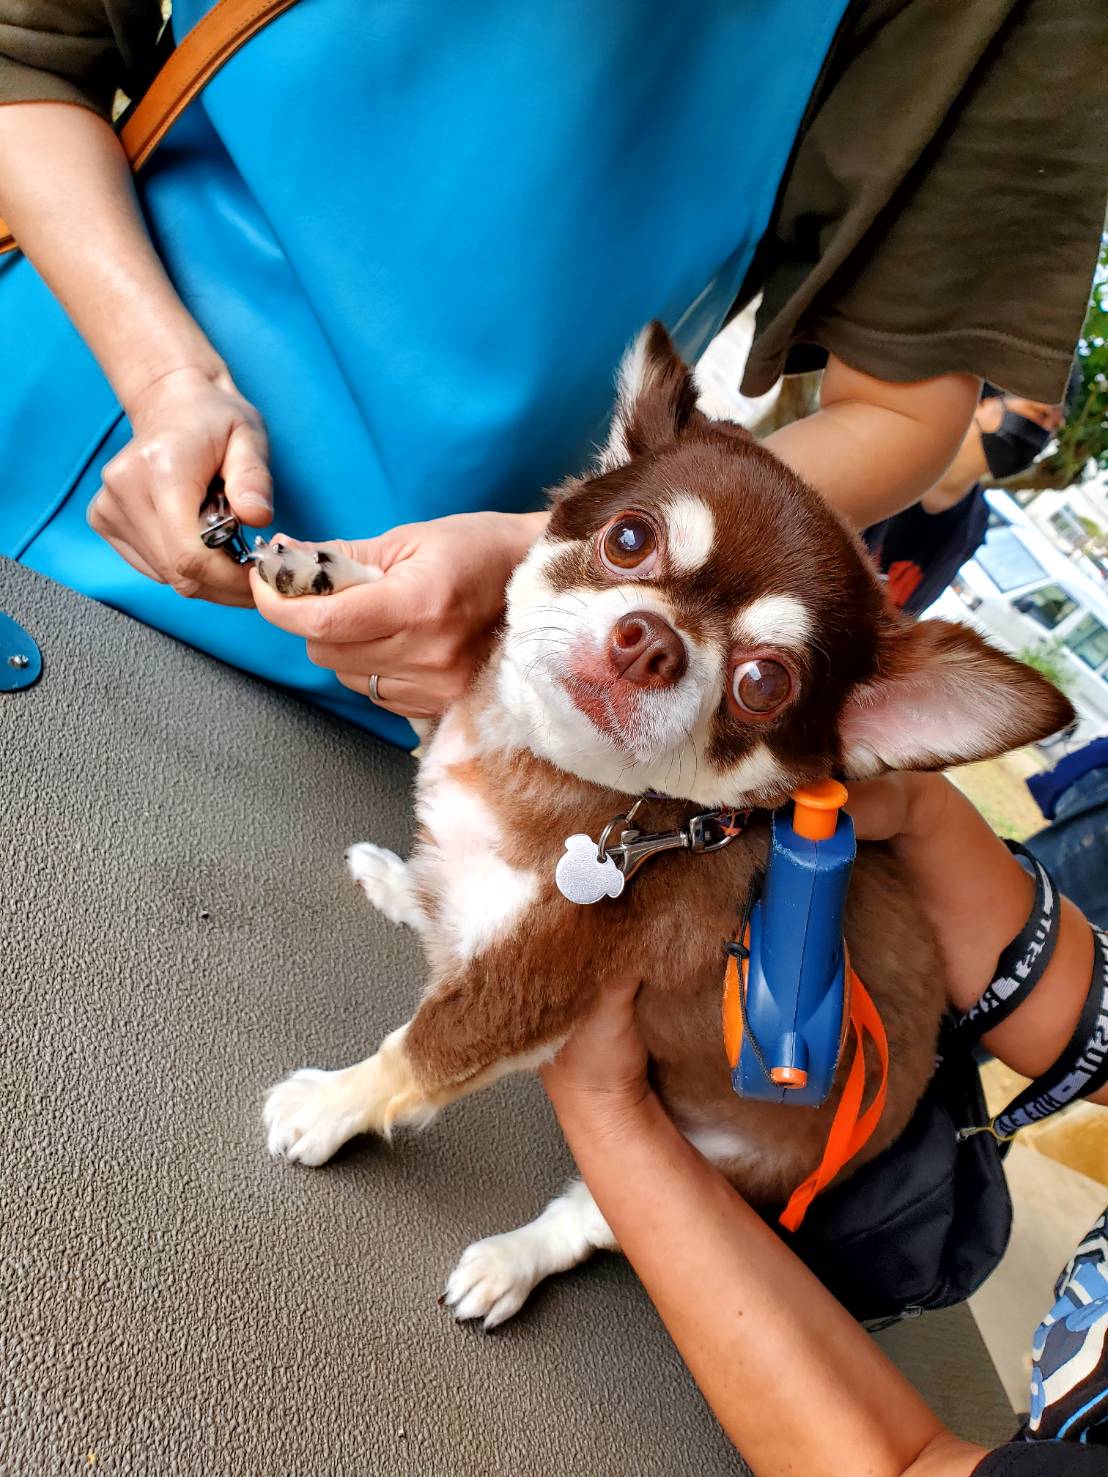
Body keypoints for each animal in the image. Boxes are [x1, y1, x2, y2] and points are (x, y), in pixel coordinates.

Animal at [259, 323, 1072, 1327]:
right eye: (628, 539)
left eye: (764, 682)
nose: (652, 641)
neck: (549, 773)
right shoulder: (463, 731)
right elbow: (447, 703)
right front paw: (331, 573)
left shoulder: (532, 985)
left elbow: (420, 1051)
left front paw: (329, 1105)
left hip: (726, 1159)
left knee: (589, 1220)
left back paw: (511, 1262)